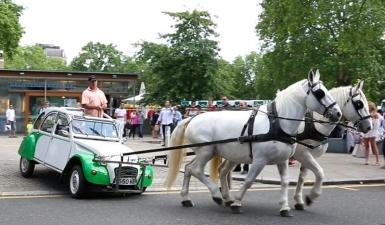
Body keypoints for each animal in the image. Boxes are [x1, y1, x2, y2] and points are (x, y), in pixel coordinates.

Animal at [164, 70, 340, 216]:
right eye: (320, 93)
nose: (337, 113)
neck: (277, 123)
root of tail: (192, 117)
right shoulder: (260, 160)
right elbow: (249, 180)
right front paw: (237, 203)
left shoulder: (283, 160)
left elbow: (285, 182)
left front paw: (285, 207)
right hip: (206, 151)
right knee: (196, 170)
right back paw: (217, 195)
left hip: (210, 152)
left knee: (189, 169)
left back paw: (187, 198)